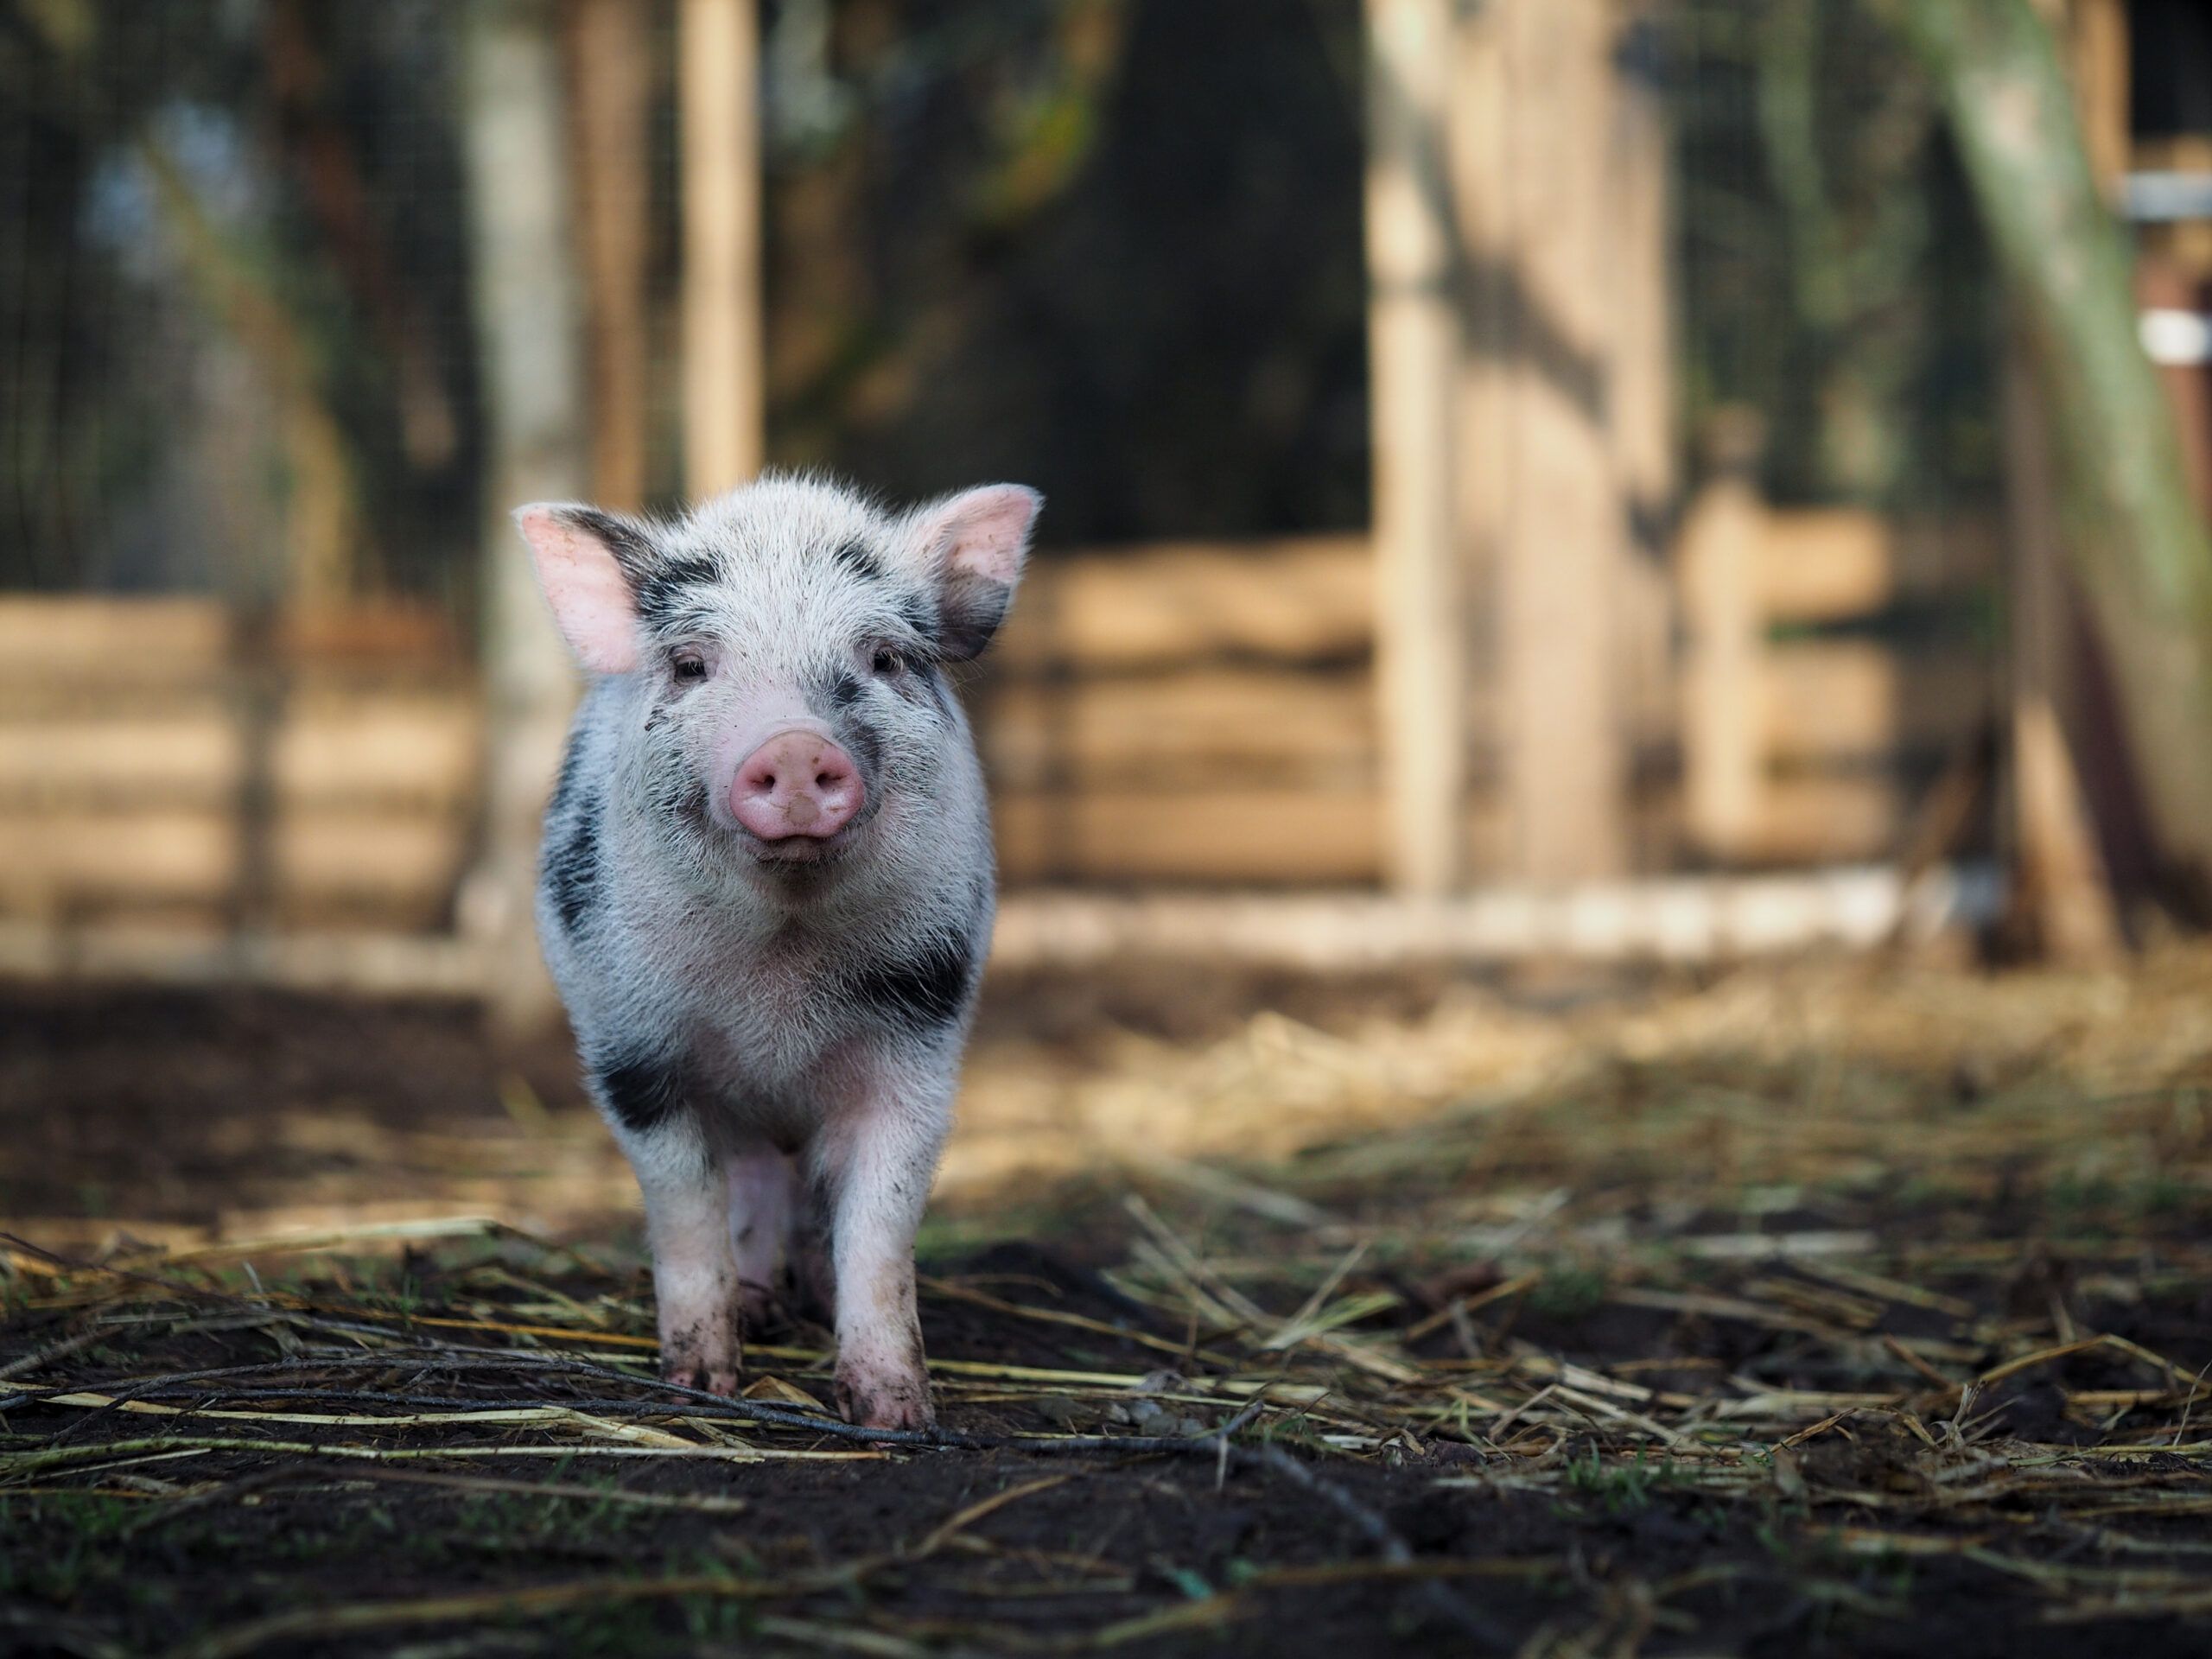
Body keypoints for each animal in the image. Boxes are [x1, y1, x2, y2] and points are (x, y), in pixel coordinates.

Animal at [513, 473, 1039, 1431]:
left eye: (885, 659)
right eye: (691, 665)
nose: (796, 747)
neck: (777, 978)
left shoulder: (920, 1036)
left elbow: (883, 1221)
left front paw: (895, 1416)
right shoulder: (629, 1050)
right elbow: (686, 1209)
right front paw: (699, 1384)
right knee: (755, 1174)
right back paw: (759, 1308)